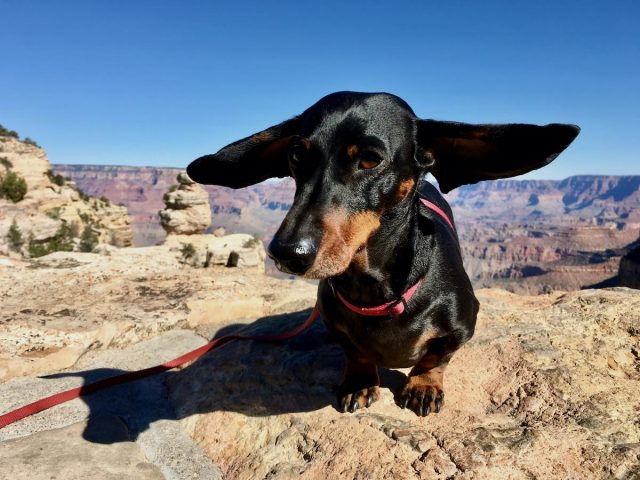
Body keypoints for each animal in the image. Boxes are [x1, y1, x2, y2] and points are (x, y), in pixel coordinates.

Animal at [186, 91, 580, 416]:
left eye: (370, 159)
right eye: (296, 155)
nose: (285, 253)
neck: (377, 293)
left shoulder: (463, 325)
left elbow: (436, 357)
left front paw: (423, 386)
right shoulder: (333, 320)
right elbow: (355, 351)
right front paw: (360, 382)